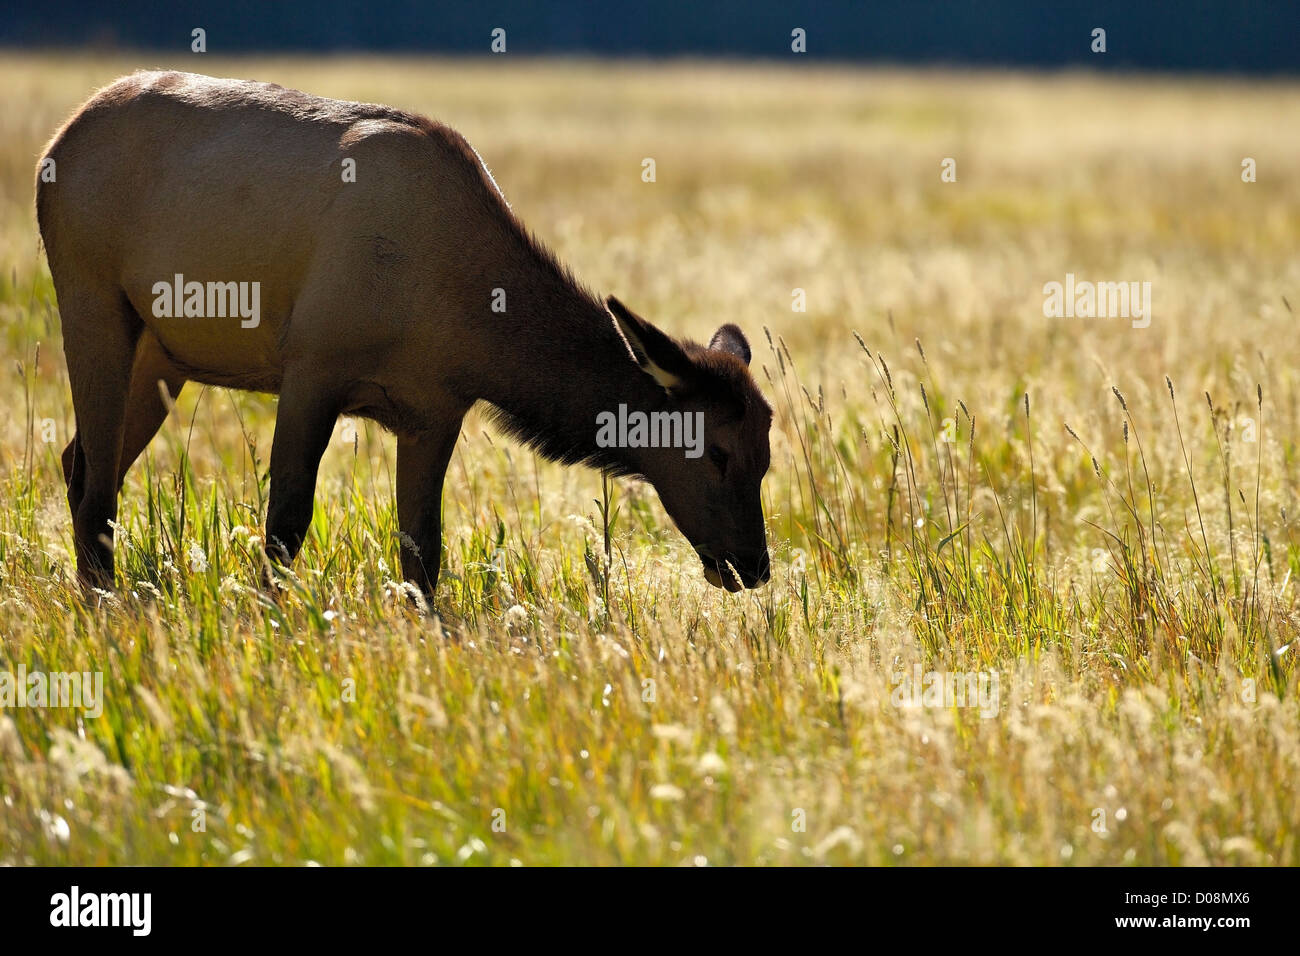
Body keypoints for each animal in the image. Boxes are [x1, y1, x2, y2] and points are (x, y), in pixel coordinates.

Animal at [35, 72, 769, 598]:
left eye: (766, 460)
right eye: (717, 452)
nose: (753, 566)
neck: (467, 326)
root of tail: (56, 141)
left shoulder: (434, 412)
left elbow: (423, 551)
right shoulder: (311, 365)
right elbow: (285, 524)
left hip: (162, 354)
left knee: (81, 462)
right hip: (90, 297)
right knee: (96, 481)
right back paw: (103, 606)